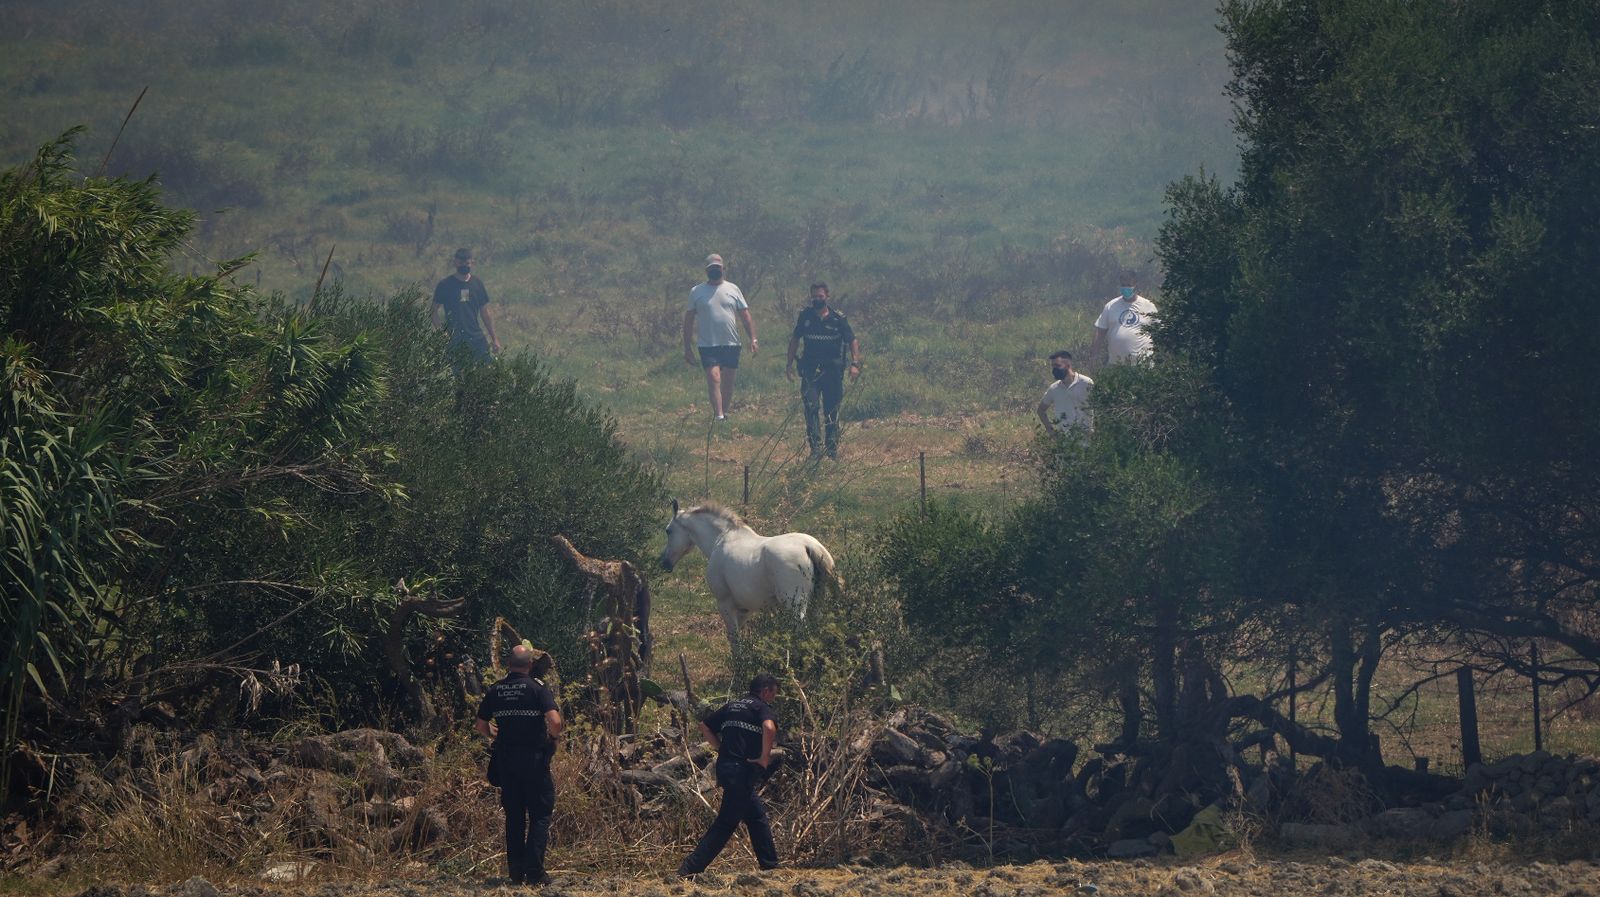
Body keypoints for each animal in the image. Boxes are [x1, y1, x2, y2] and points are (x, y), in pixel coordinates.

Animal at [658, 500, 841, 650]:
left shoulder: (725, 605)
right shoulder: (745, 610)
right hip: (816, 604)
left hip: (795, 606)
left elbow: (734, 640)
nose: (664, 563)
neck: (722, 539)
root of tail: (810, 546)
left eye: (668, 531)